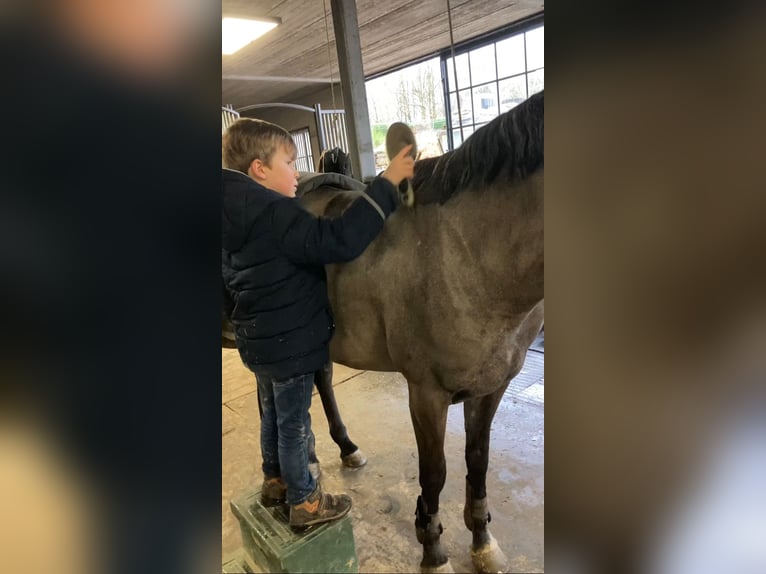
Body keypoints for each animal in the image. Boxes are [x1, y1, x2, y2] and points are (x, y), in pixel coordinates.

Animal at [296, 92, 544, 572]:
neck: (464, 253)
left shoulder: (491, 386)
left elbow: (477, 461)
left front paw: (482, 542)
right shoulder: (427, 393)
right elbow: (435, 474)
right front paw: (433, 551)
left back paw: (345, 449)